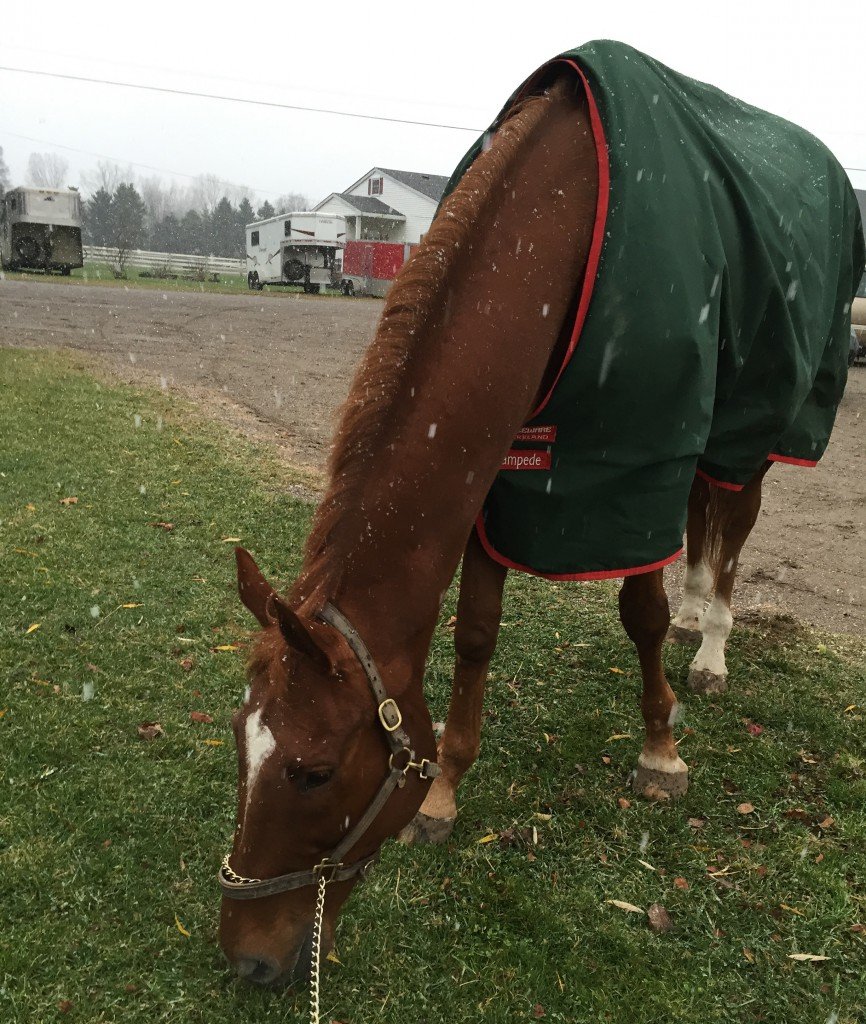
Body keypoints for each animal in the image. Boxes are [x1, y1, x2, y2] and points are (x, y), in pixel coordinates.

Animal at [219, 41, 866, 991]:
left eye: (312, 771)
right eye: (240, 744)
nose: (247, 960)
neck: (556, 222)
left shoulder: (634, 465)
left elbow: (641, 612)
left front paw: (661, 749)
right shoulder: (502, 480)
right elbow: (475, 635)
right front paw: (444, 791)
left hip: (753, 427)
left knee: (730, 536)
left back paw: (709, 649)